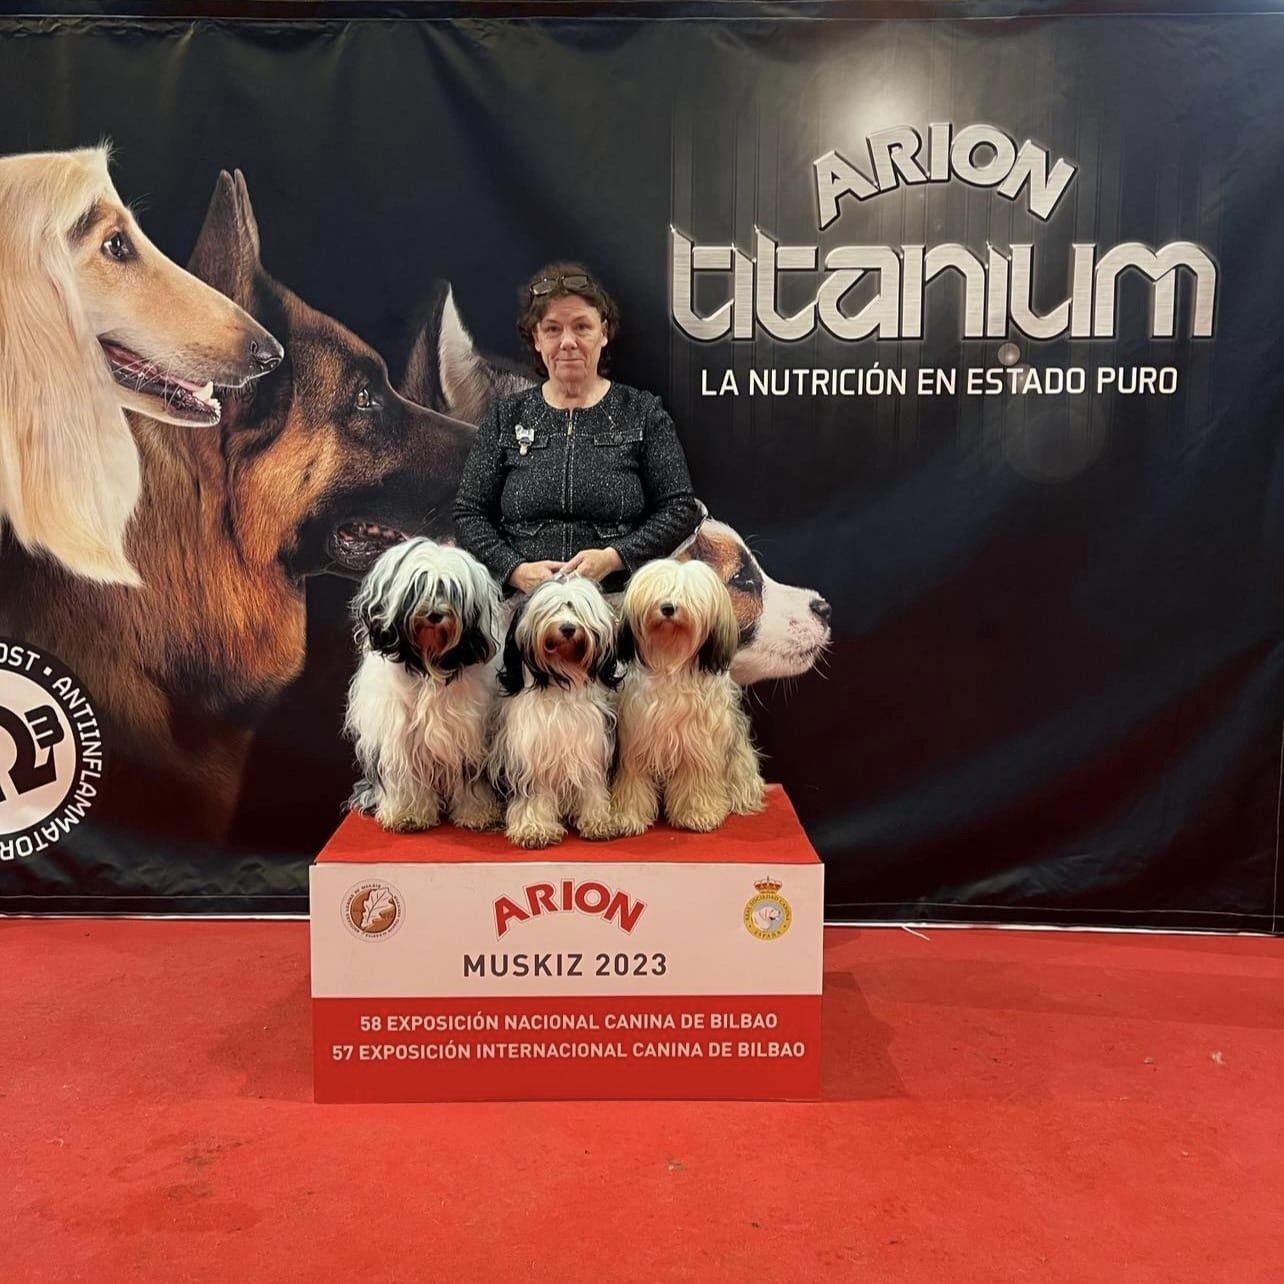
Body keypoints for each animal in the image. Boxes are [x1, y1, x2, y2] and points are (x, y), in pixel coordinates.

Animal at [345, 538, 503, 833]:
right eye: (418, 587)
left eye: (451, 591)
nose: (434, 614)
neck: (429, 664)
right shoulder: (400, 737)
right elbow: (407, 778)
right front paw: (408, 815)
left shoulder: (469, 736)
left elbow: (471, 780)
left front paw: (476, 814)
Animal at [490, 575, 620, 848]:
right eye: (551, 608)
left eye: (577, 609)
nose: (568, 628)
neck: (562, 679)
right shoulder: (530, 751)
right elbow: (535, 792)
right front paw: (534, 828)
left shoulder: (591, 745)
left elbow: (592, 786)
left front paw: (599, 821)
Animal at [612, 558, 766, 834]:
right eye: (659, 590)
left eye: (687, 594)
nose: (668, 608)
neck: (669, 661)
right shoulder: (637, 743)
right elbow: (633, 781)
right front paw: (628, 816)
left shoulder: (698, 745)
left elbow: (696, 781)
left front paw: (698, 813)